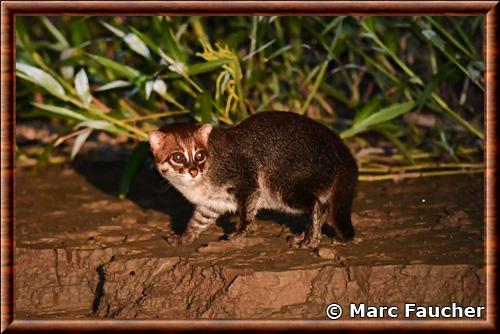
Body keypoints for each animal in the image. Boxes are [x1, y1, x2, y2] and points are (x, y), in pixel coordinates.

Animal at [146, 111, 358, 248]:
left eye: (199, 155)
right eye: (178, 157)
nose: (193, 171)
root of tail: (339, 145)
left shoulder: (245, 180)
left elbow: (246, 212)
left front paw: (239, 233)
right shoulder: (211, 203)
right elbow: (197, 220)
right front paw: (184, 238)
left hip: (280, 183)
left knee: (317, 205)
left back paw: (310, 241)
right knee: (324, 207)